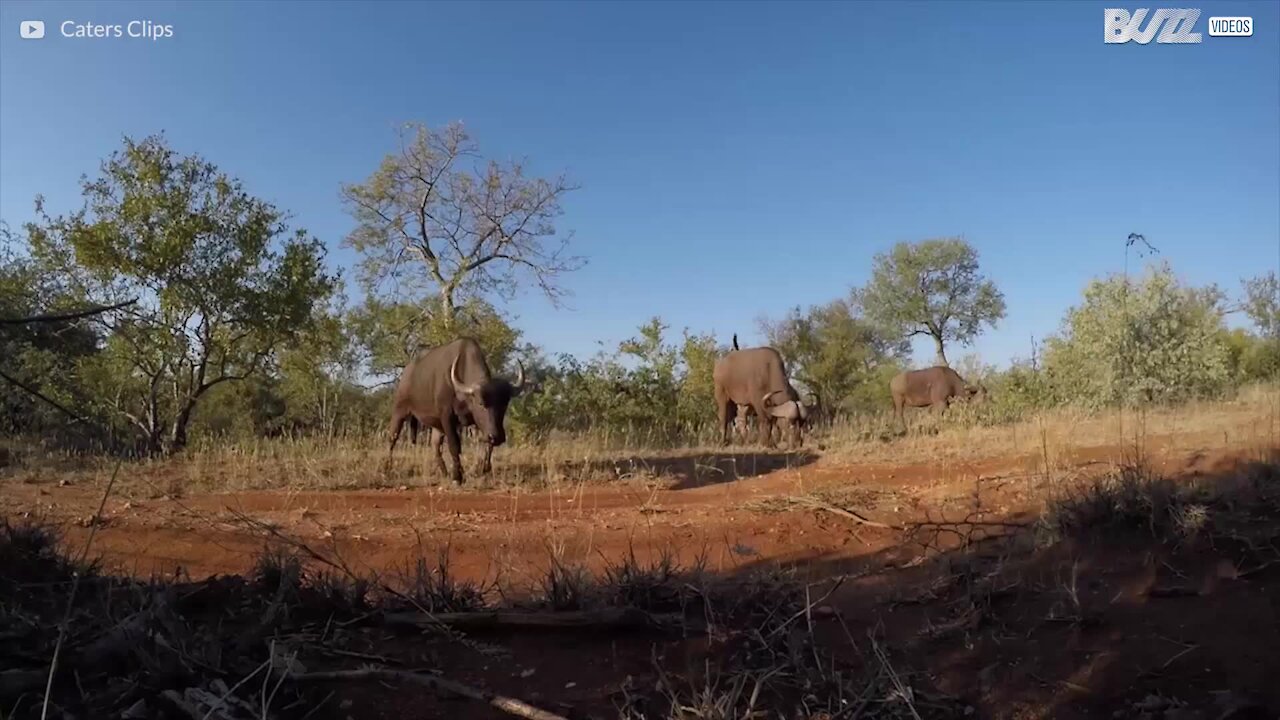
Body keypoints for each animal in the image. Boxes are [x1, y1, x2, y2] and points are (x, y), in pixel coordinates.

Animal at [391, 335, 527, 481]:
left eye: (504, 403)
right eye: (481, 403)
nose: (497, 437)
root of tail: (407, 372)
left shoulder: (478, 423)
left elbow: (487, 445)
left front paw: (484, 468)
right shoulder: (447, 417)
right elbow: (455, 445)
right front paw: (457, 476)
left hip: (437, 426)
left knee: (435, 447)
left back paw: (444, 473)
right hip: (399, 411)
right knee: (392, 438)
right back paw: (389, 464)